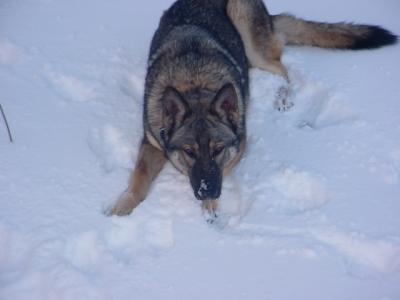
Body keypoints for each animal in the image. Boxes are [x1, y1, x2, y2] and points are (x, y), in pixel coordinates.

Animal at [108, 0, 398, 216]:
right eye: (189, 151)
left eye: (218, 149)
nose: (207, 191)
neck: (194, 82)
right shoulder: (151, 141)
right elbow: (138, 176)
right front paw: (122, 206)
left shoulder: (239, 146)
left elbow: (223, 170)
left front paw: (210, 208)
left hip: (247, 31)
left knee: (282, 68)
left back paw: (282, 98)